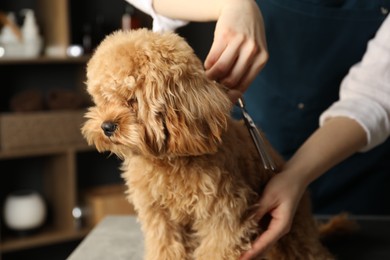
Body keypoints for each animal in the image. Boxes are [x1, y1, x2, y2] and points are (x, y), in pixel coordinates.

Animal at [80, 29, 334, 260]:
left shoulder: (225, 216)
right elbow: (165, 247)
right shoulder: (160, 217)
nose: (106, 127)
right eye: (104, 99)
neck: (169, 163)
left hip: (294, 235)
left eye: (132, 100)